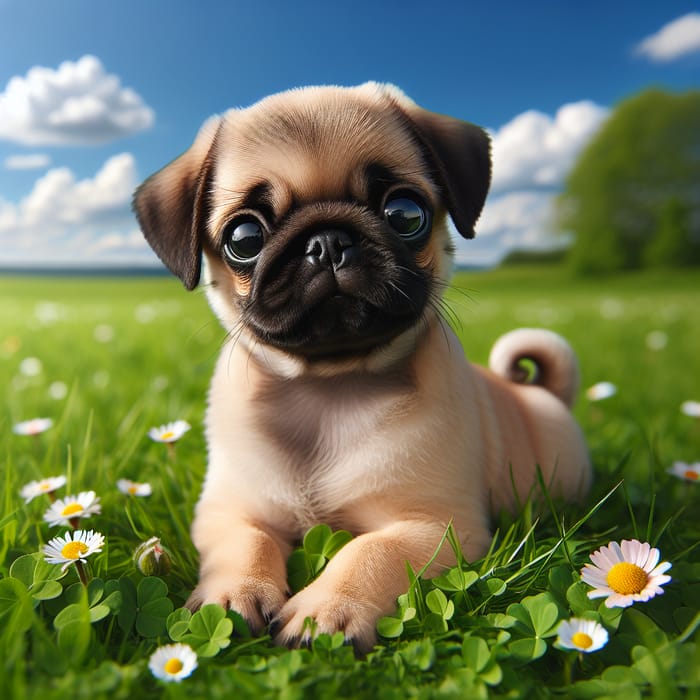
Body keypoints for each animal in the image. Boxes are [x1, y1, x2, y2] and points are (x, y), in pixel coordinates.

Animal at [133, 82, 592, 652]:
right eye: (244, 239)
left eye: (404, 213)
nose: (327, 241)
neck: (330, 388)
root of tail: (547, 394)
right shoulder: (229, 511)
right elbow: (246, 542)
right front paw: (232, 593)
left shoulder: (434, 525)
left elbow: (370, 551)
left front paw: (327, 610)